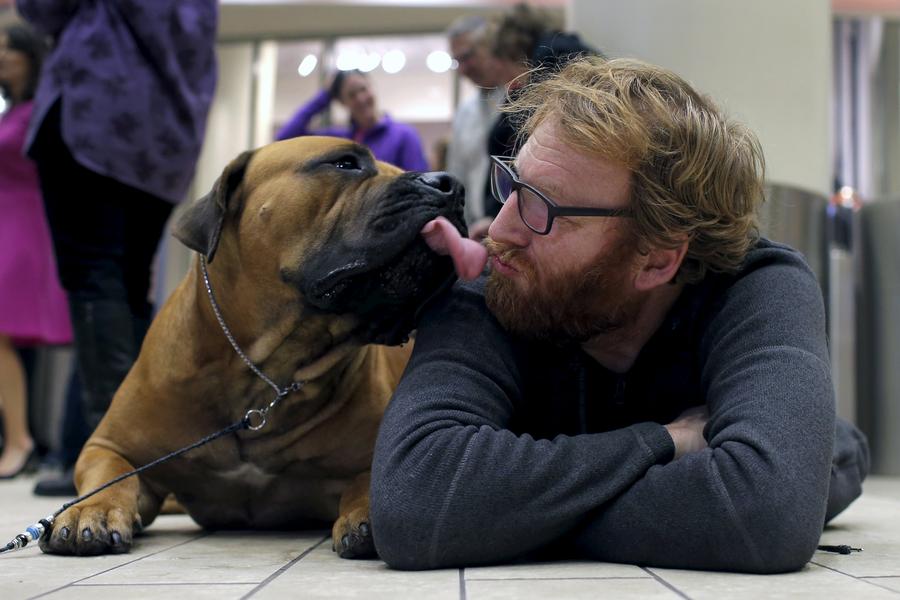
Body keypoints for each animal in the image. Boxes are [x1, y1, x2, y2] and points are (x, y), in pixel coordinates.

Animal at [39, 136, 468, 556]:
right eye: (344, 163)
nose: (452, 185)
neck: (268, 375)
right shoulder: (111, 446)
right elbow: (113, 473)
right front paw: (92, 509)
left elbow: (367, 480)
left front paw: (364, 513)